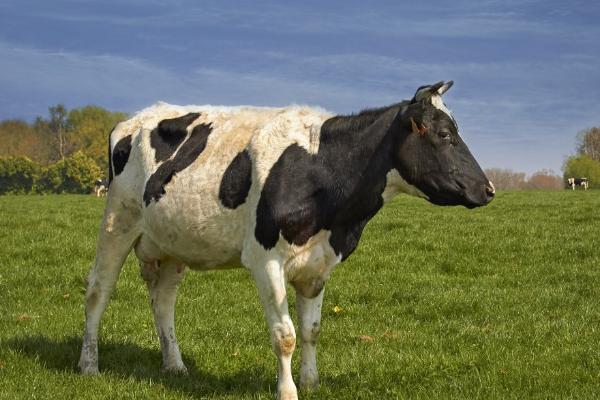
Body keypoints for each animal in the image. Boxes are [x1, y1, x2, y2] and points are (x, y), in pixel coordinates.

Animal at [78, 81, 492, 400]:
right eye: (444, 135)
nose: (487, 189)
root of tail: (136, 117)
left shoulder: (318, 264)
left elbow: (311, 330)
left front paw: (310, 383)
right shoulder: (266, 260)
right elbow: (285, 335)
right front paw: (288, 391)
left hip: (172, 243)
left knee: (163, 301)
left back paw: (175, 366)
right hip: (117, 221)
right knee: (98, 291)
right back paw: (88, 365)